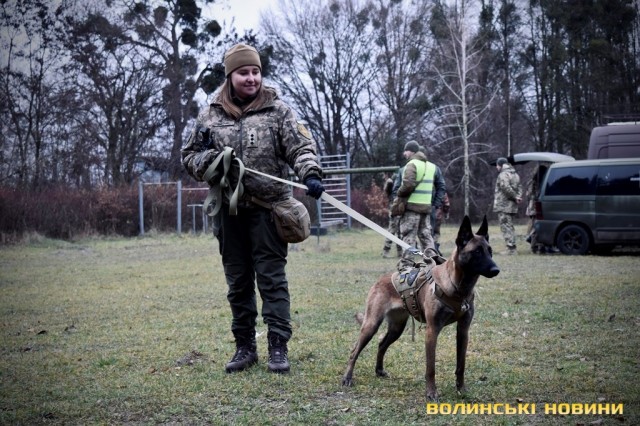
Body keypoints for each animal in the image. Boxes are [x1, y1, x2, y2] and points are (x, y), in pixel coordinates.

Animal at [344, 216, 500, 402]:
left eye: (490, 251)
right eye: (476, 252)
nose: (496, 270)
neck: (457, 287)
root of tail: (381, 280)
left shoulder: (463, 331)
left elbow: (460, 365)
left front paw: (461, 390)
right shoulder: (432, 331)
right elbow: (430, 368)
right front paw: (431, 393)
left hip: (397, 328)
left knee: (382, 344)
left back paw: (379, 370)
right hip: (371, 324)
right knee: (354, 350)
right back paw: (347, 378)